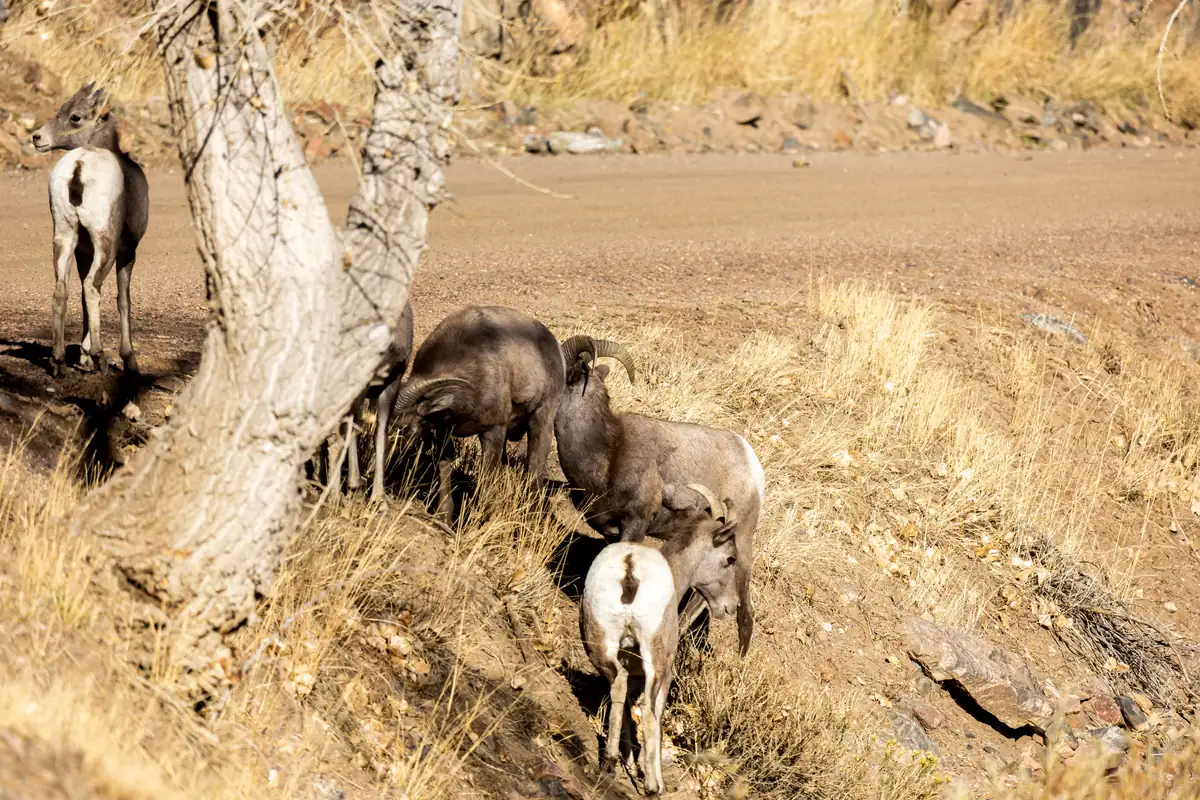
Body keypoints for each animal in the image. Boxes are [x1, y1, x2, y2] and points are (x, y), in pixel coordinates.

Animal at [32, 82, 149, 377]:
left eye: (75, 116)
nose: (36, 137)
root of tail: (79, 168)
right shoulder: (128, 251)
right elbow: (123, 300)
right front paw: (129, 362)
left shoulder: (82, 252)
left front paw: (82, 359)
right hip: (105, 242)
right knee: (93, 288)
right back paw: (100, 356)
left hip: (63, 235)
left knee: (62, 290)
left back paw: (59, 360)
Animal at [392, 305, 566, 518]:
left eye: (403, 427)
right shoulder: (444, 431)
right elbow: (445, 469)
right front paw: (444, 516)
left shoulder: (493, 431)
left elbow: (487, 479)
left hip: (541, 422)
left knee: (535, 471)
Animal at [580, 484, 739, 795]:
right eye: (730, 559)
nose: (731, 606)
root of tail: (630, 570)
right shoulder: (663, 671)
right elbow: (656, 713)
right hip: (657, 660)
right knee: (650, 713)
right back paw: (653, 786)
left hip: (598, 644)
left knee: (616, 686)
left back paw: (610, 762)